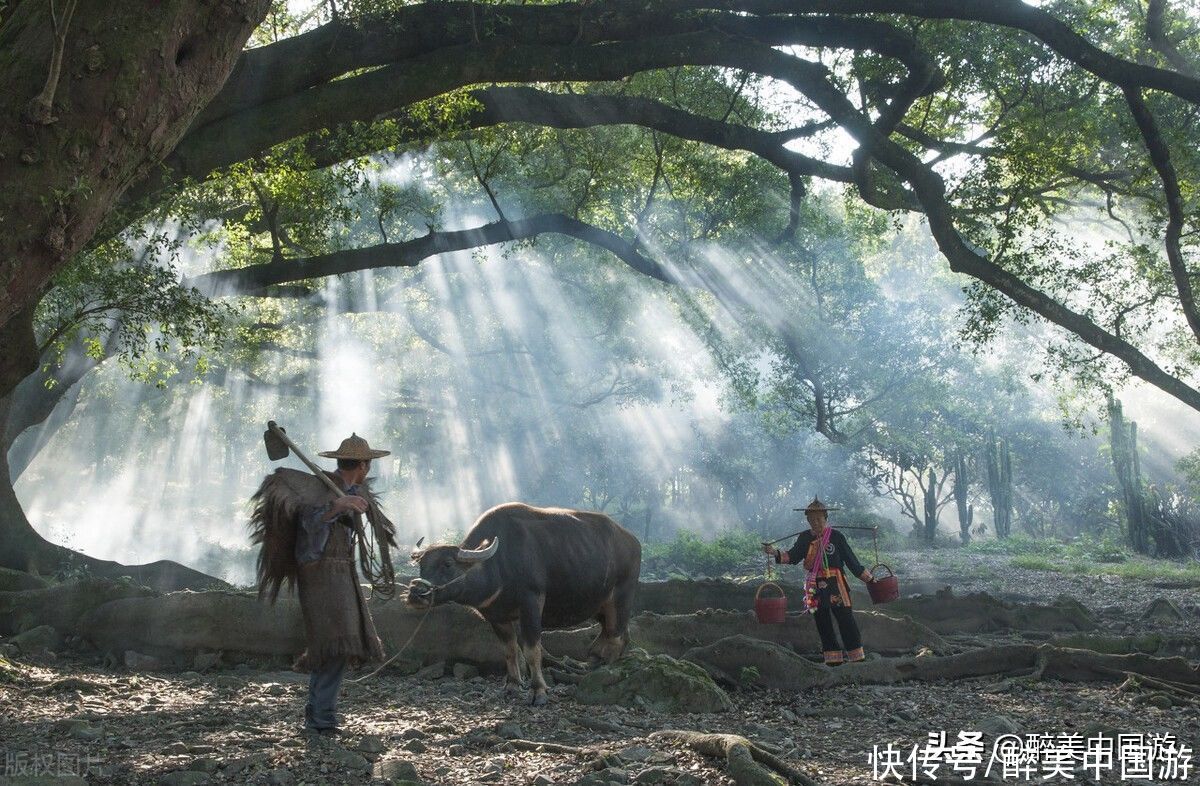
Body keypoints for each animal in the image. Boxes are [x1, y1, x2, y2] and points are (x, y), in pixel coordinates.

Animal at [408, 504, 643, 705]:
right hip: (599, 606)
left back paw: (607, 672)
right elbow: (510, 650)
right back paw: (592, 664)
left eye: (447, 564)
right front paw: (512, 686)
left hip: (621, 598)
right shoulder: (497, 616)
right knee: (614, 634)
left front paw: (538, 691)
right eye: (422, 565)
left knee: (616, 636)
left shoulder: (531, 605)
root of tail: (633, 541)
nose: (415, 593)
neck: (499, 563)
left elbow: (531, 650)